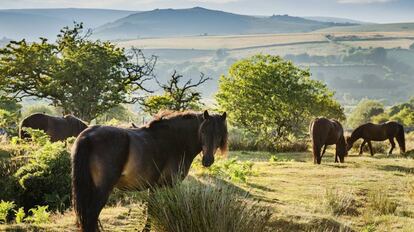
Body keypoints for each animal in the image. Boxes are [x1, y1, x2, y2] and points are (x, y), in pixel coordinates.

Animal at [71, 110, 226, 232]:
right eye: (203, 131)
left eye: (219, 134)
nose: (207, 160)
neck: (176, 141)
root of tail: (87, 136)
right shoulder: (171, 185)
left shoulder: (154, 186)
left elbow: (151, 210)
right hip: (102, 189)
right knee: (91, 216)